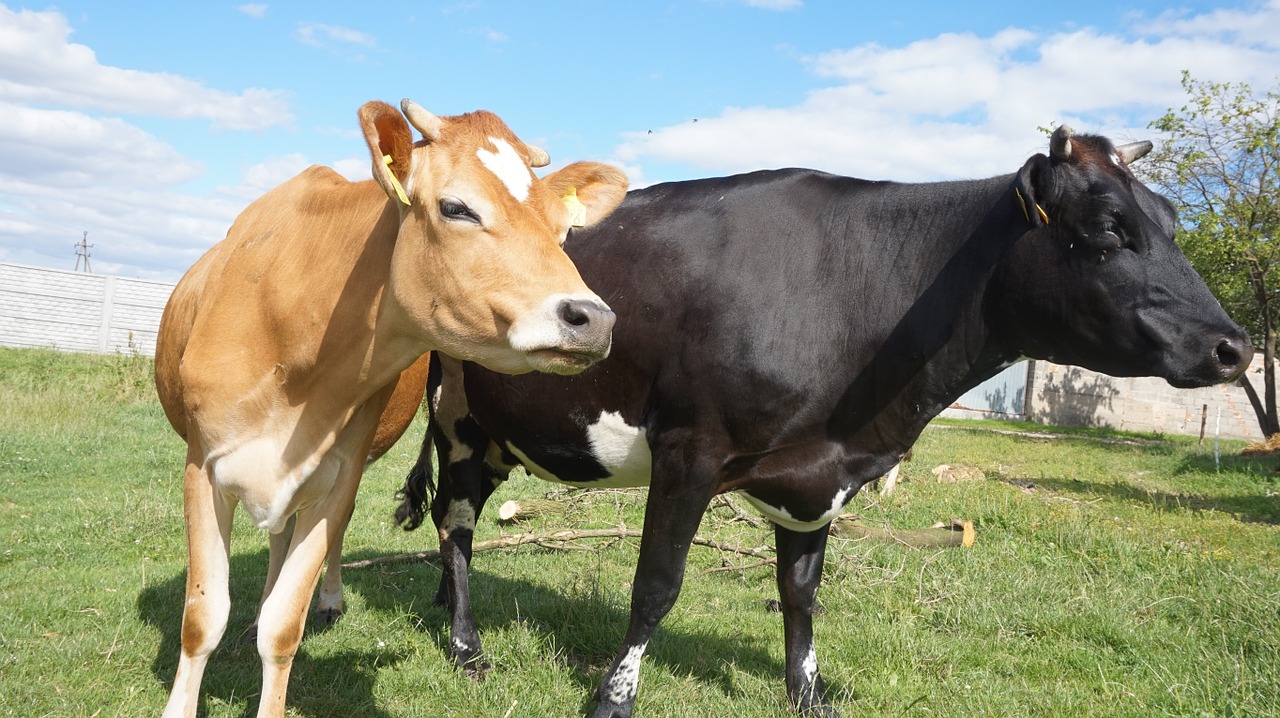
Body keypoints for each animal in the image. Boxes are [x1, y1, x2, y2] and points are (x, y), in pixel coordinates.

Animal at [156, 96, 629, 716]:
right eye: (456, 208)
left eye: (563, 228)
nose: (593, 319)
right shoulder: (202, 468)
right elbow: (202, 619)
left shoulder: (336, 479)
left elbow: (283, 627)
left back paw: (326, 598)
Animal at [391, 128, 1249, 716]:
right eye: (1107, 228)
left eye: (1173, 221)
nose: (1233, 346)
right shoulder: (690, 448)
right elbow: (657, 586)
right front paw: (614, 696)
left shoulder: (814, 476)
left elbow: (802, 592)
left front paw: (807, 694)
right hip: (458, 416)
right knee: (455, 521)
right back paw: (466, 645)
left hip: (498, 430)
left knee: (454, 521)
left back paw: (444, 606)